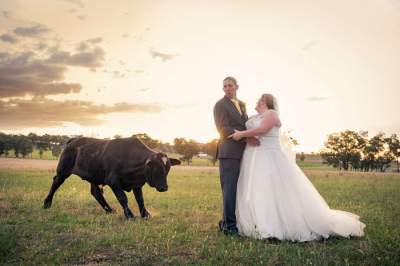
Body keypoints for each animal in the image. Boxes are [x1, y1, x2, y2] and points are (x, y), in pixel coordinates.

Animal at [43, 137, 180, 218]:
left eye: (167, 169)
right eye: (156, 169)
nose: (164, 187)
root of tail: (73, 140)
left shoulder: (136, 184)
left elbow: (140, 200)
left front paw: (145, 214)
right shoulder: (113, 181)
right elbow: (123, 198)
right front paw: (129, 215)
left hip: (94, 176)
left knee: (96, 192)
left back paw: (109, 210)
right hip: (63, 171)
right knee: (55, 183)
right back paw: (47, 203)